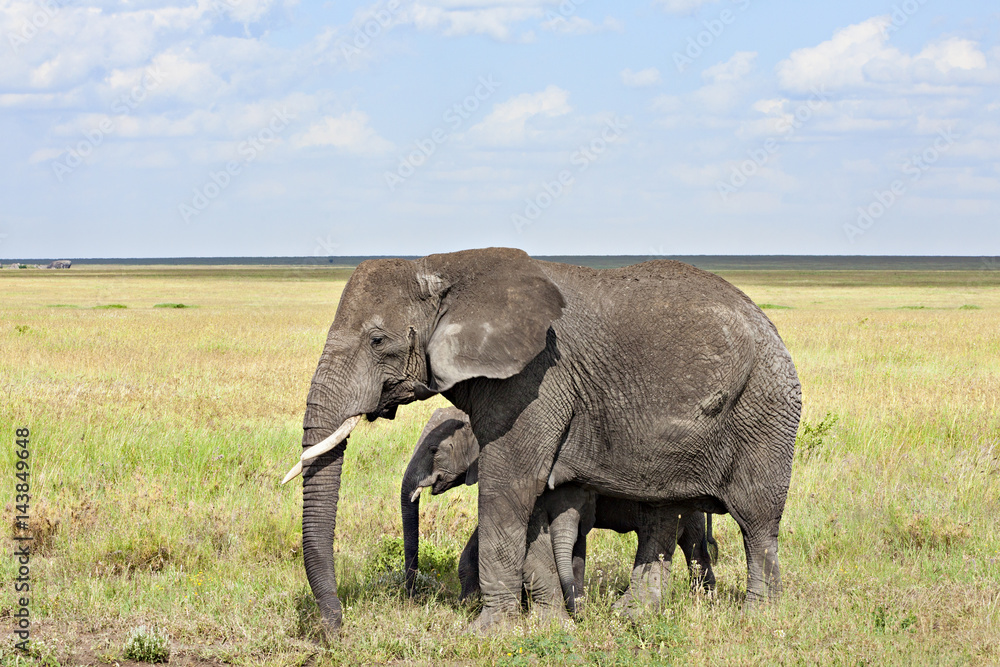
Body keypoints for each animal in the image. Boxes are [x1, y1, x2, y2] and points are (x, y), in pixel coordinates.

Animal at [401, 407, 716, 616]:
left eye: (433, 450)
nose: (411, 594)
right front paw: (469, 603)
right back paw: (706, 599)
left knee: (689, 541)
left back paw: (703, 601)